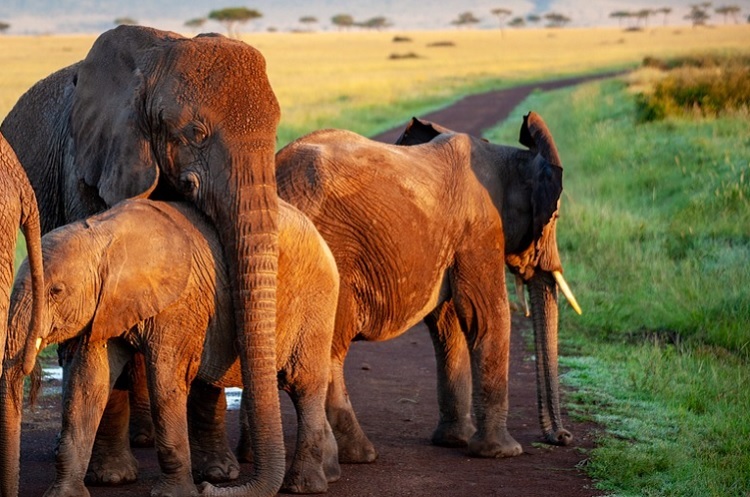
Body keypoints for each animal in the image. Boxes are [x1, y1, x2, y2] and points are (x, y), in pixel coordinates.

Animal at [0, 26, 286, 492]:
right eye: (196, 132)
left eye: (277, 134)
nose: (214, 490)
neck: (157, 60)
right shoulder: (85, 168)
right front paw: (112, 477)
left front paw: (217, 474)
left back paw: (148, 438)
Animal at [2, 198, 340, 496]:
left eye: (56, 291)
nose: (208, 491)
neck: (103, 234)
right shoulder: (105, 306)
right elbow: (88, 384)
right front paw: (63, 495)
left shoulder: (178, 304)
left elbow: (165, 382)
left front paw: (174, 494)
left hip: (317, 301)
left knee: (304, 384)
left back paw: (303, 486)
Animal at [276, 111, 580, 462]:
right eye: (554, 217)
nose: (563, 437)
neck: (507, 156)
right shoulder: (481, 230)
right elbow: (487, 315)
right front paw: (504, 452)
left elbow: (448, 325)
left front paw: (455, 441)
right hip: (331, 254)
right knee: (328, 351)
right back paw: (360, 454)